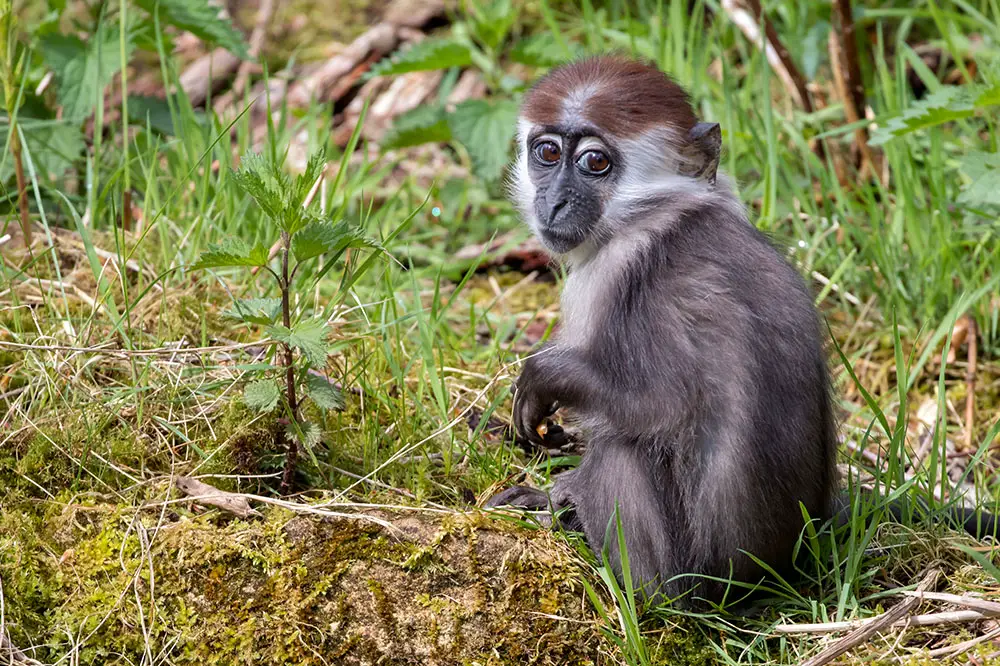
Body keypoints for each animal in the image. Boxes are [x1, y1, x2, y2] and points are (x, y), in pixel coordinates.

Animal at [484, 54, 992, 608]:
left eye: (594, 162)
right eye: (548, 152)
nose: (553, 202)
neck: (655, 212)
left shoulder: (614, 273)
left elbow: (665, 404)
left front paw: (545, 388)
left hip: (693, 574)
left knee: (624, 451)